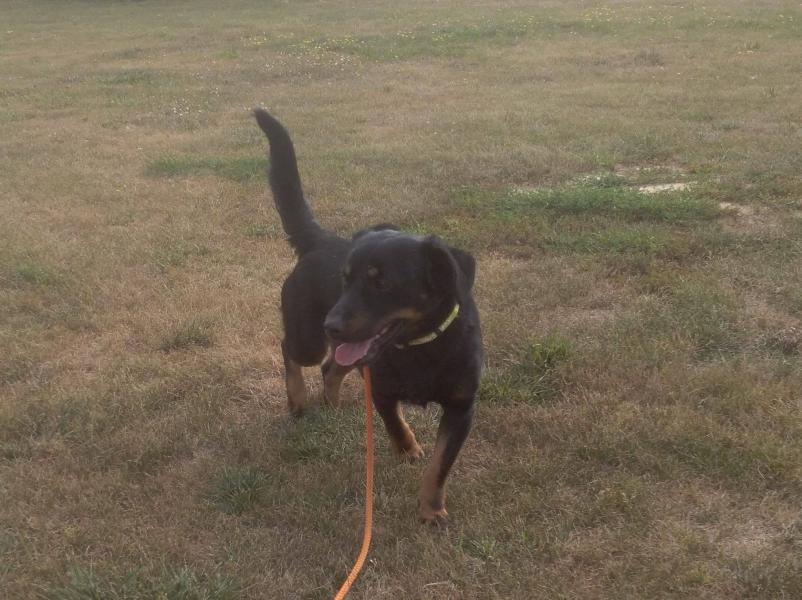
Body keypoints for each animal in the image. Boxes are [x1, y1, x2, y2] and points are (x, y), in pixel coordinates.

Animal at [254, 109, 482, 525]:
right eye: (345, 279)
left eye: (382, 283)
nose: (331, 324)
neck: (420, 346)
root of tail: (320, 238)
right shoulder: (381, 389)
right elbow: (395, 424)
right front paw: (408, 449)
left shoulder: (461, 407)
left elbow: (441, 464)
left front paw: (431, 509)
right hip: (310, 337)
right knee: (292, 351)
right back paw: (298, 401)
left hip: (349, 346)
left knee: (331, 367)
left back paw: (329, 400)